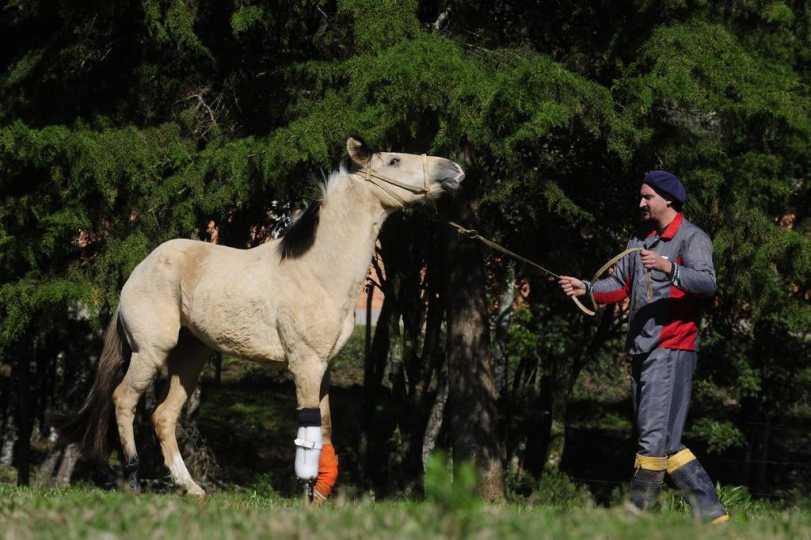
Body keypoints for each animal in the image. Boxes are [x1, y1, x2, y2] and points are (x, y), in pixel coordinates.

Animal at [60, 138, 466, 498]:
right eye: (394, 161)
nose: (455, 170)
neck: (318, 271)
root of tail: (136, 273)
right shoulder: (304, 364)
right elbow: (308, 433)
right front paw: (306, 493)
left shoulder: (324, 367)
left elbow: (325, 429)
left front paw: (321, 495)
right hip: (150, 352)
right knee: (124, 400)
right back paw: (132, 479)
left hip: (191, 357)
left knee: (163, 416)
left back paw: (192, 489)